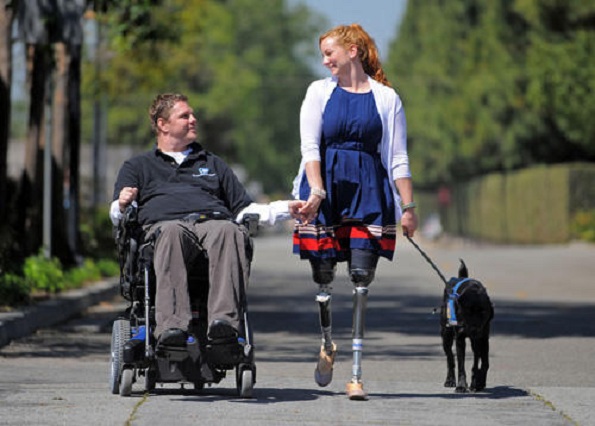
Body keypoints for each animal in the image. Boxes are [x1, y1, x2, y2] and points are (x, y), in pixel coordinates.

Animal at [442, 260, 494, 392]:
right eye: (468, 311)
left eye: (483, 312)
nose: (474, 329)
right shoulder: (460, 339)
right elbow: (461, 365)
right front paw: (461, 385)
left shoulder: (481, 339)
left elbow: (480, 364)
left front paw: (477, 383)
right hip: (446, 336)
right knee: (450, 358)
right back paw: (450, 380)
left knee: (481, 360)